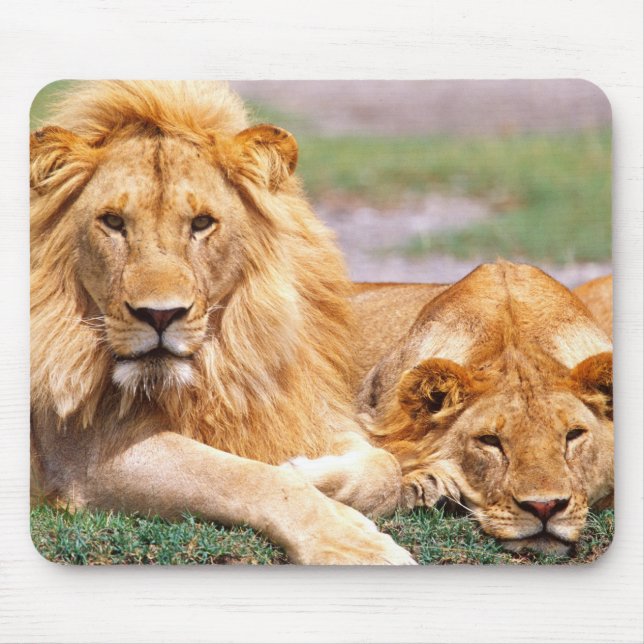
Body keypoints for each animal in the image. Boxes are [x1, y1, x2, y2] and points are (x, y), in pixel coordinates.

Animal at [30, 81, 414, 565]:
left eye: (201, 223)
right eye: (113, 222)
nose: (160, 314)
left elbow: (387, 467)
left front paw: (310, 472)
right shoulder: (84, 457)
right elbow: (249, 477)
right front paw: (350, 541)